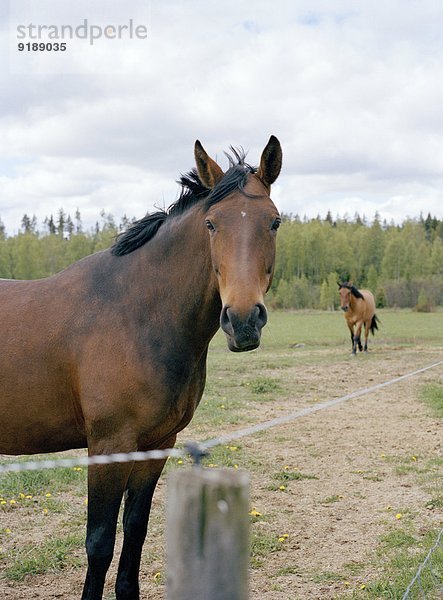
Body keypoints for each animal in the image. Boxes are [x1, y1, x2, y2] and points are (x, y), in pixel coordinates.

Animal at [0, 137, 282, 600]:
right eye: (211, 225)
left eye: (274, 222)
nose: (243, 320)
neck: (136, 313)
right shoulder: (109, 446)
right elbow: (99, 542)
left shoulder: (158, 444)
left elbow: (135, 532)